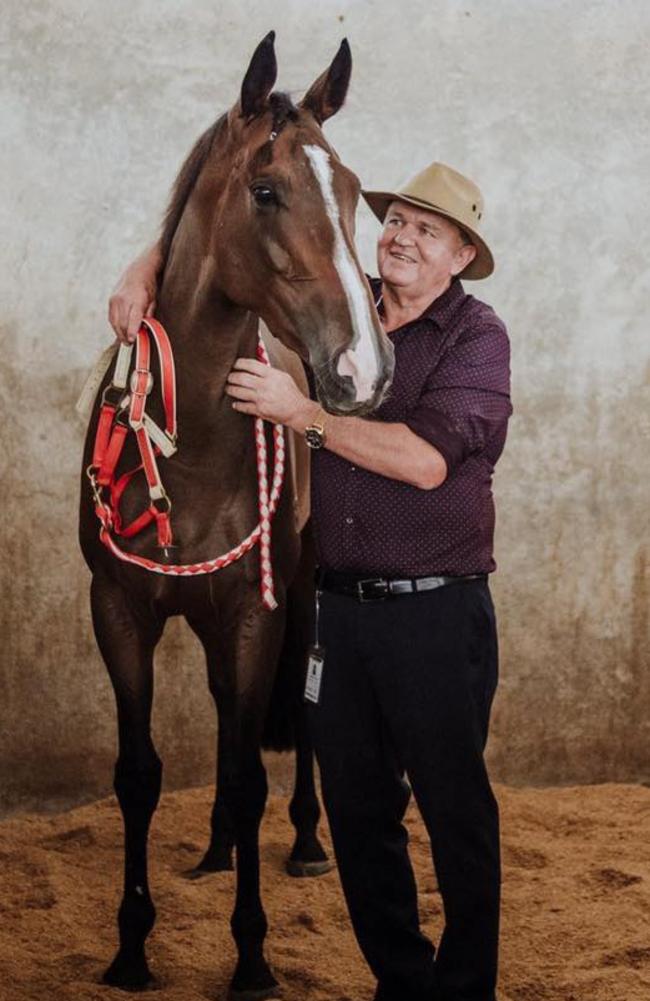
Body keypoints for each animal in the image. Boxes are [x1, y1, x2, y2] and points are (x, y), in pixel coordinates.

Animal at [78, 31, 392, 1001]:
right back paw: (217, 847)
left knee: (281, 727)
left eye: (354, 191)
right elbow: (137, 774)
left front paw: (252, 956)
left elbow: (255, 770)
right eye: (265, 190)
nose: (364, 369)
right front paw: (131, 946)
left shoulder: (257, 610)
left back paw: (303, 843)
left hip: (298, 589)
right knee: (225, 715)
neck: (186, 449)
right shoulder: (119, 611)